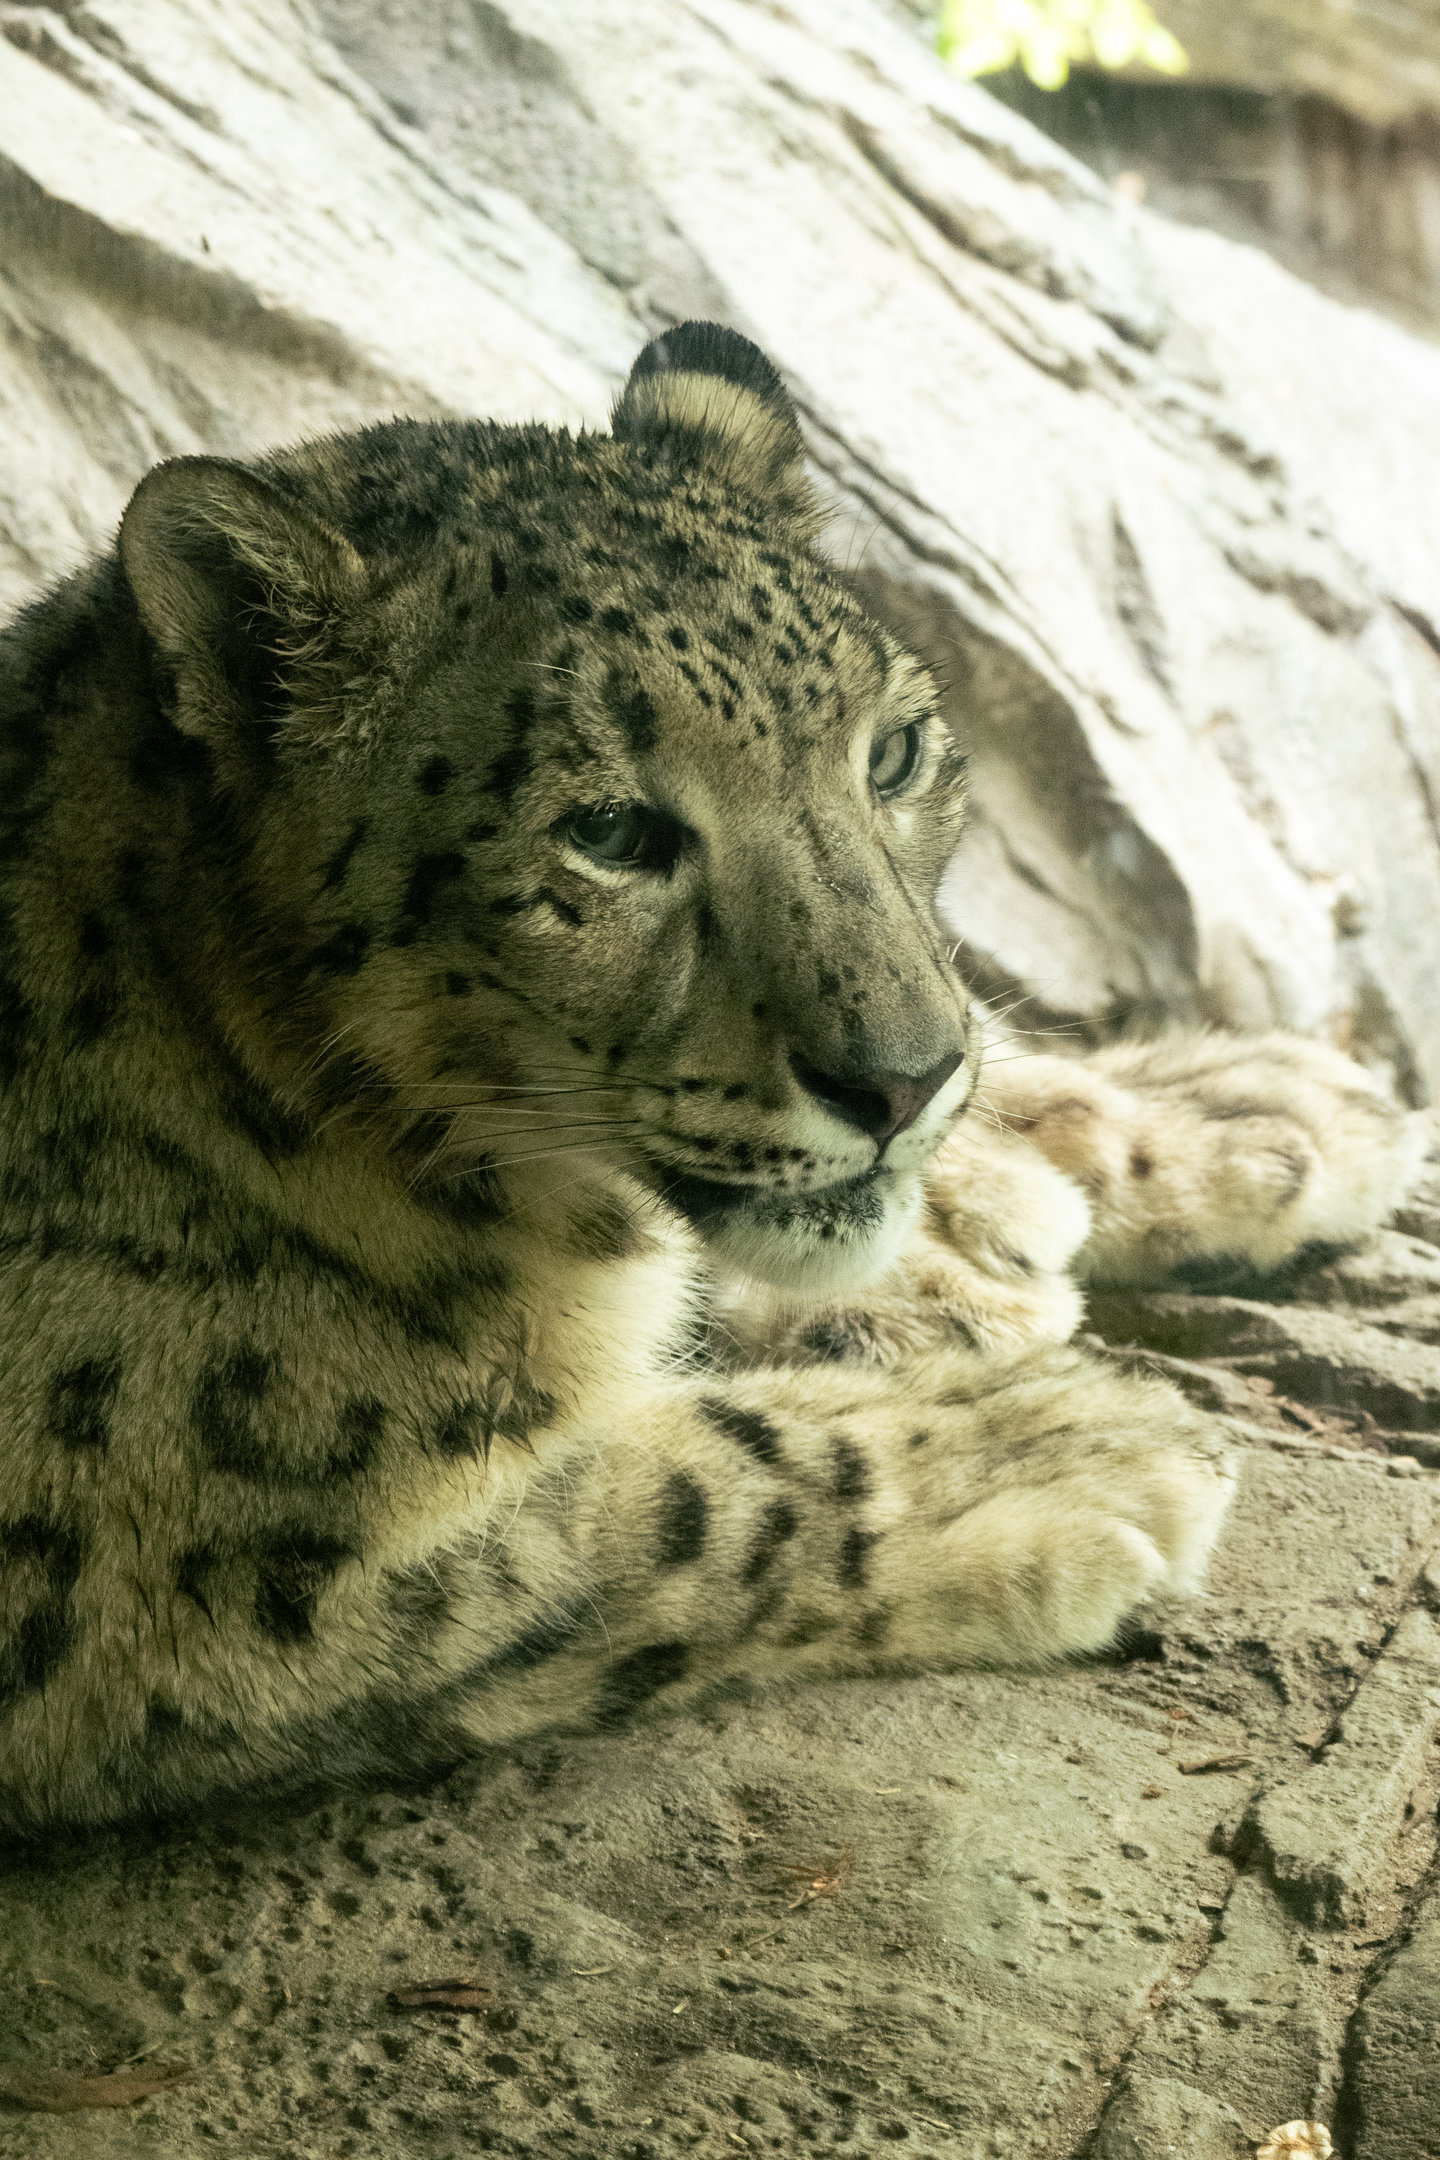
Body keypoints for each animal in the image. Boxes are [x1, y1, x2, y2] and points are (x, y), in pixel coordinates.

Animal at [0, 320, 1423, 1837]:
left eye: (892, 751)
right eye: (611, 831)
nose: (904, 1082)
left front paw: (1243, 1117)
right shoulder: (199, 1576)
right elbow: (690, 1503)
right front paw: (1060, 1452)